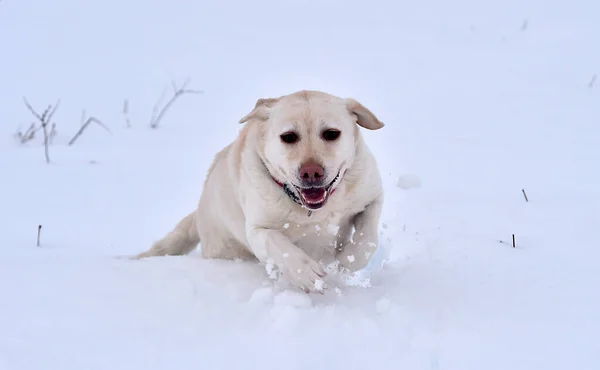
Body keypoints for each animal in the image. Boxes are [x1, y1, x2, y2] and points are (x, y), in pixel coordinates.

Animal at [134, 89, 384, 292]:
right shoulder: (257, 229)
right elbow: (277, 244)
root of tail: (199, 212)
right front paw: (306, 273)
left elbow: (367, 239)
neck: (311, 210)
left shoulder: (373, 197)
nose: (311, 172)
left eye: (331, 133)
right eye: (288, 137)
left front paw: (348, 261)